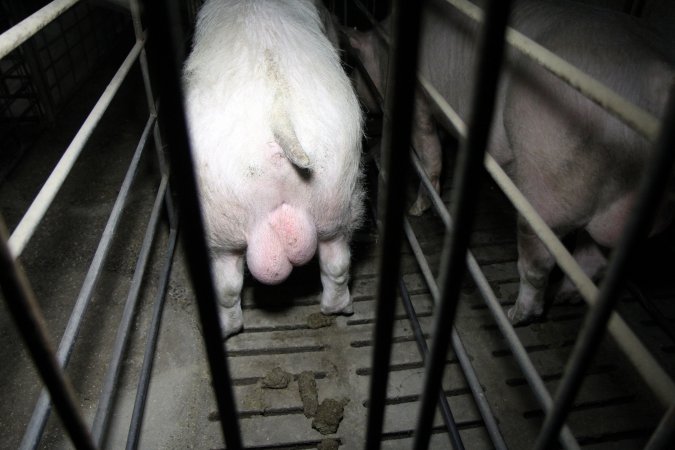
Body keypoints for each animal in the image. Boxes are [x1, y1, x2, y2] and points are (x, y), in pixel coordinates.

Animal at [182, 0, 364, 336]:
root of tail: (279, 114)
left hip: (217, 217)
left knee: (225, 280)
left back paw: (224, 329)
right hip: (339, 192)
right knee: (337, 261)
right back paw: (337, 308)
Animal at [352, 0, 672, 324]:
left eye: (355, 70)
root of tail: (658, 82)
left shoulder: (420, 98)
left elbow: (430, 152)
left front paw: (416, 209)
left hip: (550, 180)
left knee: (538, 264)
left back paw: (514, 315)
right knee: (593, 258)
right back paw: (566, 298)